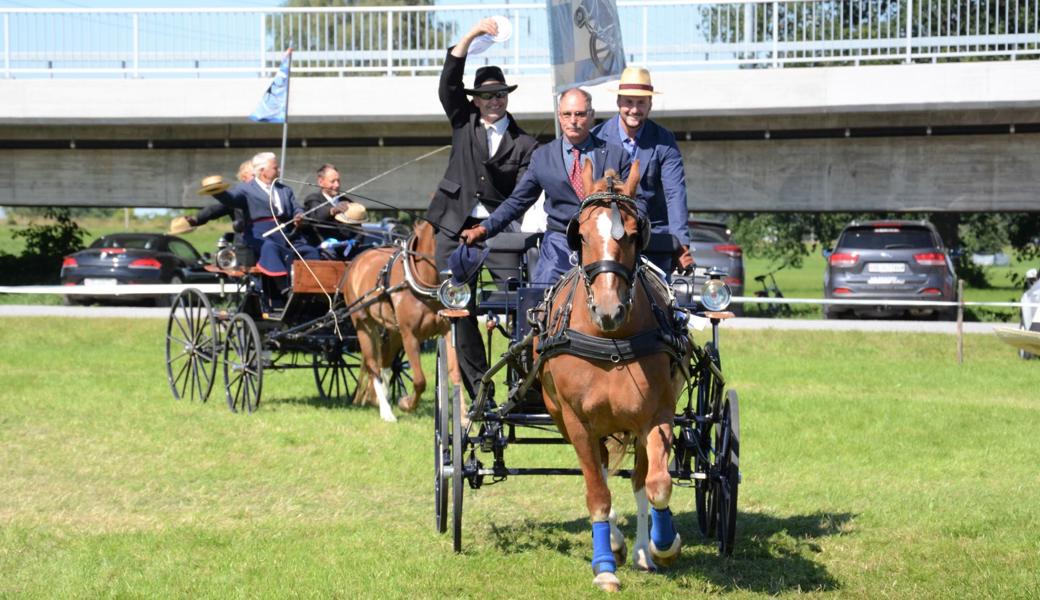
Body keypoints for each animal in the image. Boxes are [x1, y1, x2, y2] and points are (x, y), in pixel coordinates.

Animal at [341, 220, 455, 420]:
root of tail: (358, 259)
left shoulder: (446, 330)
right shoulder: (410, 336)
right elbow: (420, 381)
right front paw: (406, 404)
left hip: (393, 331)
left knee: (385, 361)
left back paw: (379, 400)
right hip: (364, 324)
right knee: (373, 364)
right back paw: (386, 412)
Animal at [536, 160, 690, 590]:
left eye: (636, 236)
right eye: (582, 235)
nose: (609, 310)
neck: (610, 341)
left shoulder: (656, 415)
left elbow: (657, 485)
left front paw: (664, 545)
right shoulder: (577, 422)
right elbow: (598, 494)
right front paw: (604, 565)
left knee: (638, 480)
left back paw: (640, 551)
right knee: (602, 473)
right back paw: (618, 545)